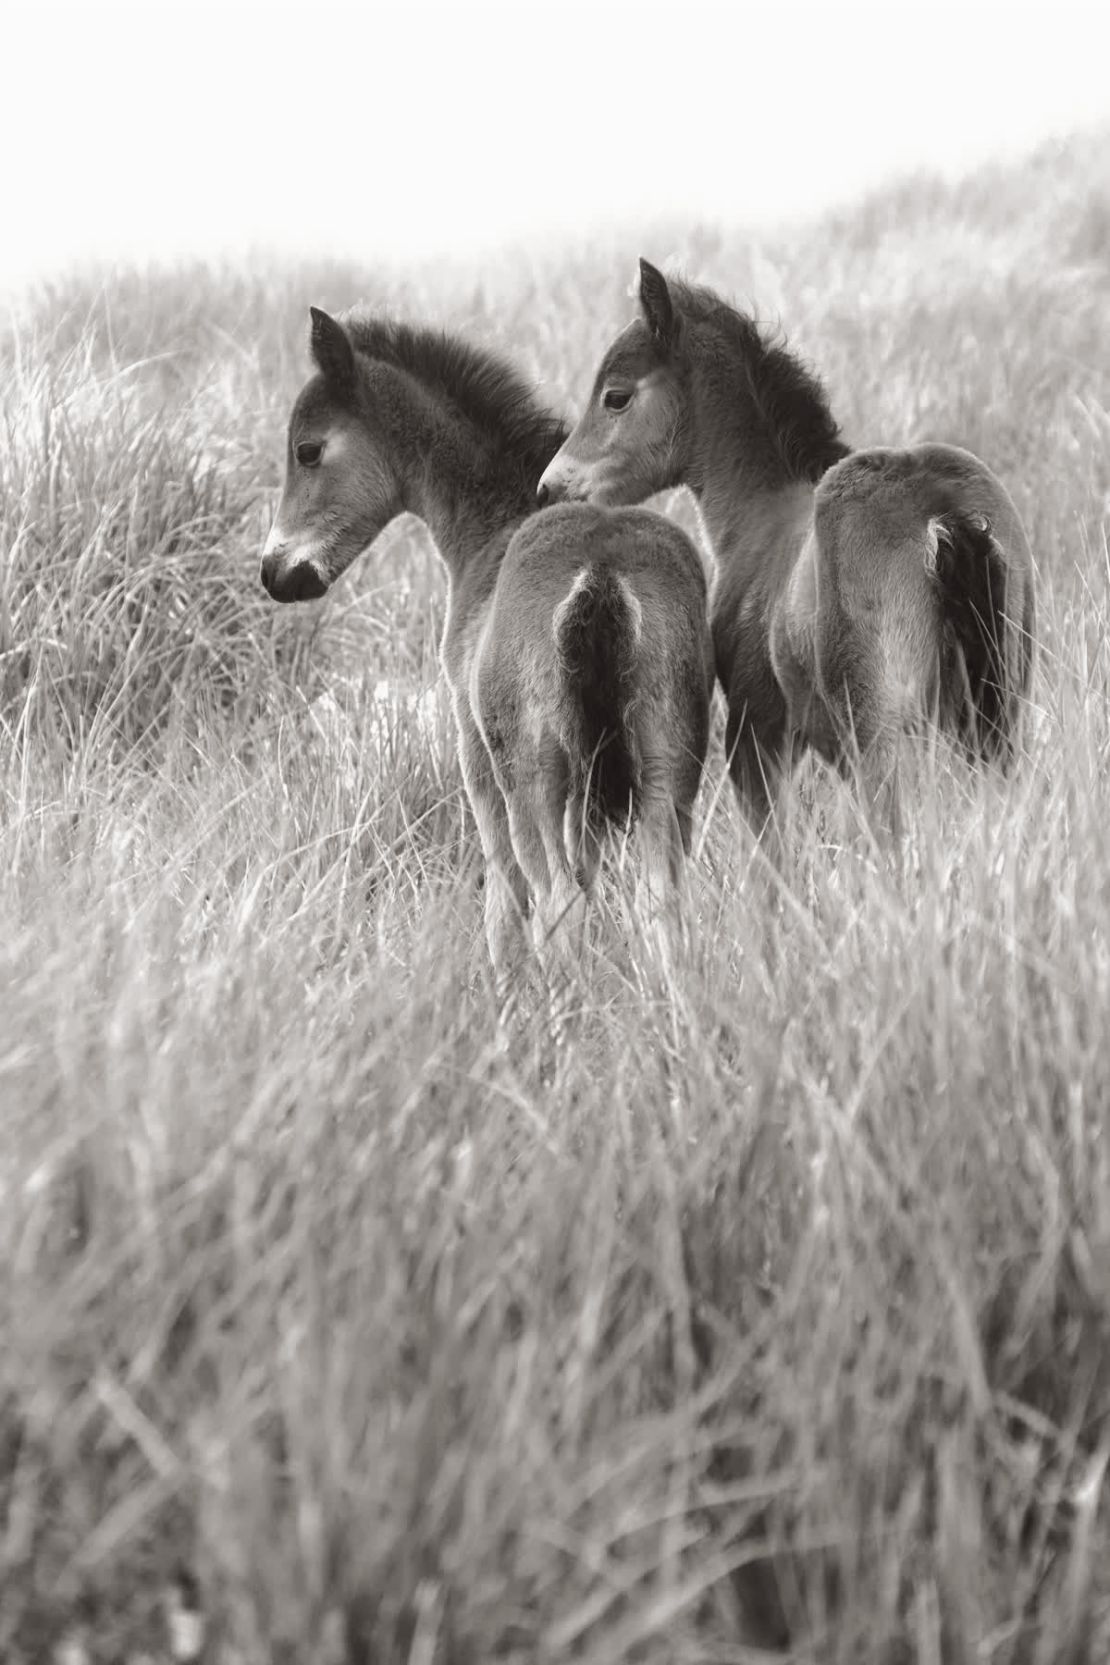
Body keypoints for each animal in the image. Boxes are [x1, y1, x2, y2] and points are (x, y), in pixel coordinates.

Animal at [261, 308, 712, 979]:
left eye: (307, 451)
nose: (275, 572)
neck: (494, 526)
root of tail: (601, 571)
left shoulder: (475, 754)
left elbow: (503, 906)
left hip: (532, 775)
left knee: (557, 902)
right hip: (668, 762)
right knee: (663, 910)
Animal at [539, 259, 1045, 825]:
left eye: (617, 397)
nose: (550, 488)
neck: (761, 514)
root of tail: (942, 514)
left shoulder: (756, 731)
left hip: (885, 737)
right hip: (998, 716)